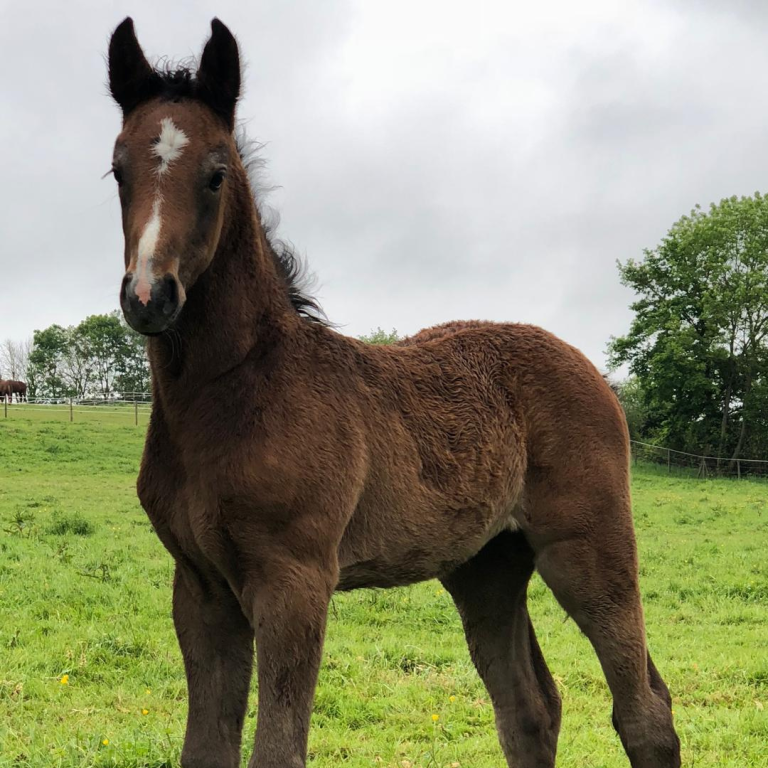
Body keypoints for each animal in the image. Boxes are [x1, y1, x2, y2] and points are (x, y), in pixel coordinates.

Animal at [107, 18, 680, 768]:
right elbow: (205, 749)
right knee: (530, 707)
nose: (150, 296)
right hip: (487, 566)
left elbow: (278, 750)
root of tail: (593, 373)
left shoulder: (294, 581)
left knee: (643, 710)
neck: (240, 391)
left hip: (588, 548)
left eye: (216, 174)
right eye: (118, 171)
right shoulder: (200, 589)